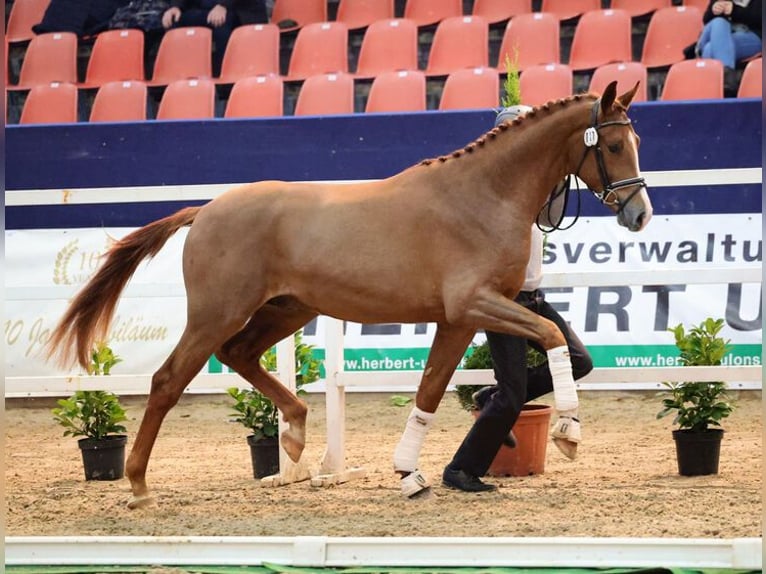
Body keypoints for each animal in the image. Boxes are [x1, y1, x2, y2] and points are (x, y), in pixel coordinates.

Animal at [47, 81, 652, 508]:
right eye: (613, 144)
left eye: (637, 141)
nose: (639, 214)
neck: (482, 196)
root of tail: (207, 209)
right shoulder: (474, 306)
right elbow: (551, 333)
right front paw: (569, 432)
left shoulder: (460, 319)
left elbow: (432, 391)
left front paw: (410, 474)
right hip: (217, 312)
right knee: (168, 381)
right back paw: (139, 486)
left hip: (286, 310)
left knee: (239, 354)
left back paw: (294, 436)